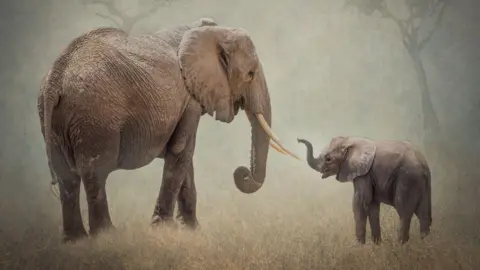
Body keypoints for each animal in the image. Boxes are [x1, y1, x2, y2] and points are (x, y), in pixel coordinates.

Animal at [38, 18, 300, 243]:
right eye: (250, 74)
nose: (242, 173)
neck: (209, 31)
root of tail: (56, 78)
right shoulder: (190, 100)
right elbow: (182, 150)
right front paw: (165, 228)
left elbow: (185, 157)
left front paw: (192, 231)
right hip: (96, 116)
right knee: (95, 171)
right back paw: (107, 236)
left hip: (55, 121)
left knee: (67, 176)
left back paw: (75, 240)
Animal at [296, 137, 432, 245]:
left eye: (328, 159)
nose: (298, 140)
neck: (350, 141)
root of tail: (423, 164)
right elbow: (372, 206)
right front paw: (377, 246)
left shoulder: (364, 173)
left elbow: (360, 202)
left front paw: (358, 247)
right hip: (422, 183)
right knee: (423, 213)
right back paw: (425, 245)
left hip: (408, 178)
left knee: (403, 210)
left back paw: (400, 245)